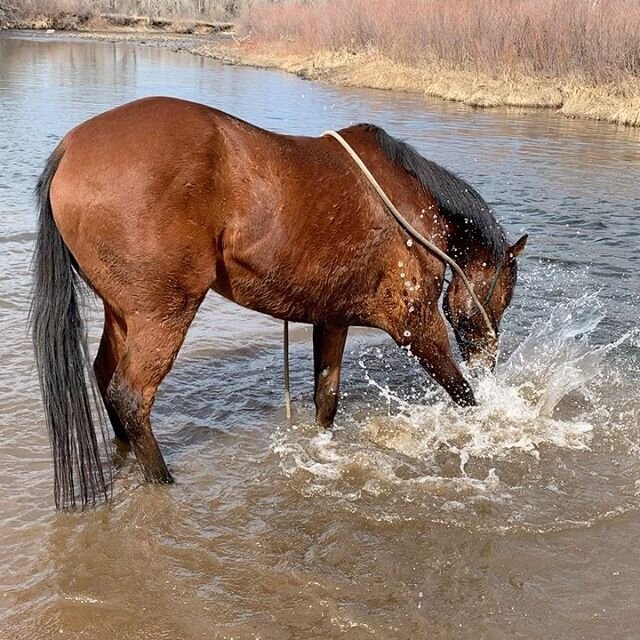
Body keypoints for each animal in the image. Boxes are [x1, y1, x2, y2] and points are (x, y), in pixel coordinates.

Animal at [30, 97, 528, 508]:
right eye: (505, 294)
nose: (489, 358)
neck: (414, 207)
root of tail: (70, 150)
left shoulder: (332, 320)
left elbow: (326, 399)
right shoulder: (415, 324)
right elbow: (462, 394)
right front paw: (484, 428)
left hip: (122, 313)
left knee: (105, 379)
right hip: (163, 313)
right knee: (131, 396)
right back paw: (162, 480)